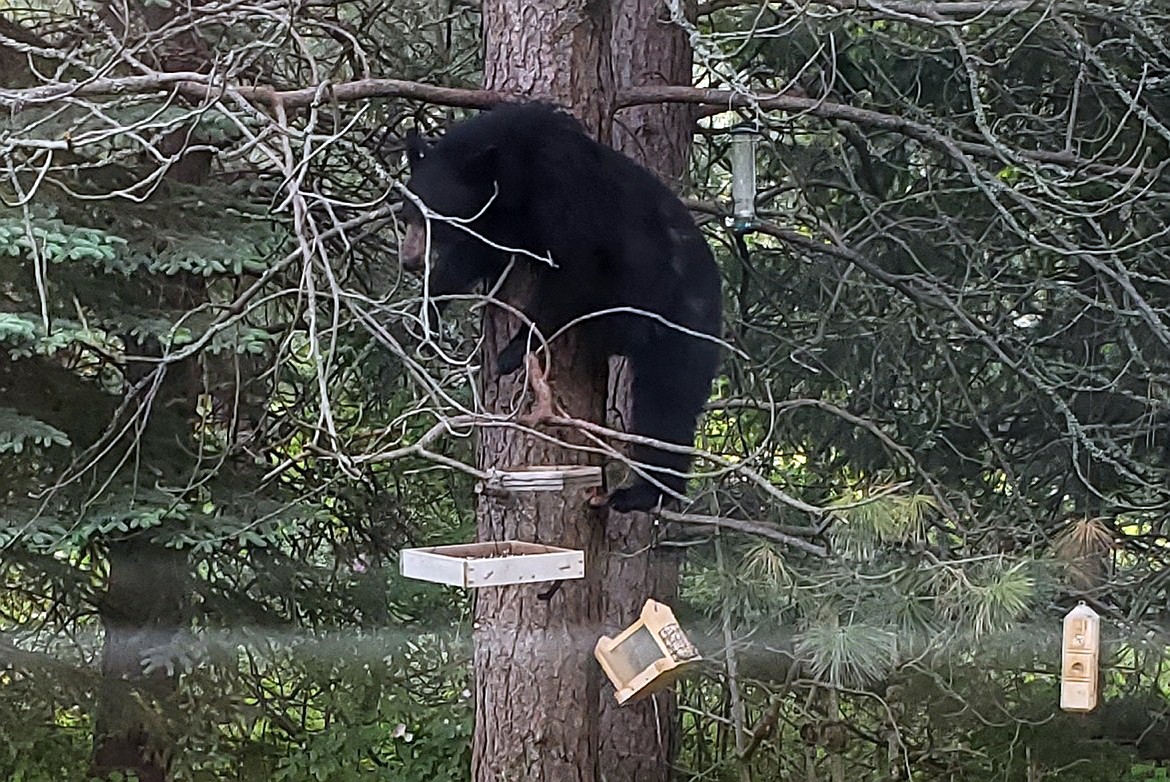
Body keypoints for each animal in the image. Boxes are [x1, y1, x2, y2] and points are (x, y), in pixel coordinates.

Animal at [402, 102, 720, 512]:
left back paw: (643, 492)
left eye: (435, 221)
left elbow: (572, 269)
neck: (514, 167)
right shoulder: (503, 220)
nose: (408, 260)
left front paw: (514, 350)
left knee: (667, 399)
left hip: (681, 319)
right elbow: (477, 255)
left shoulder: (565, 191)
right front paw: (425, 318)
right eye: (407, 214)